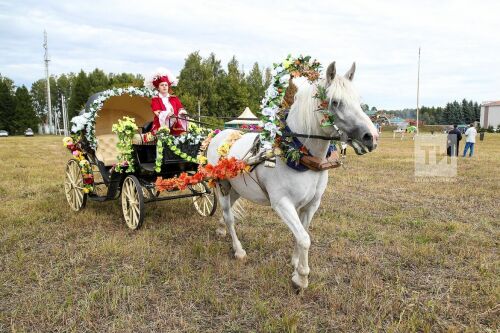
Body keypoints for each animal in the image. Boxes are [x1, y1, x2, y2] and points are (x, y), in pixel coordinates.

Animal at [205, 61, 376, 288]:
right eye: (335, 102)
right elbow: (304, 238)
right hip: (222, 185)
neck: (299, 154)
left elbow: (302, 233)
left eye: (358, 101)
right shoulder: (282, 203)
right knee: (229, 216)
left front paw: (295, 263)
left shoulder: (311, 204)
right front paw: (301, 277)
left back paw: (221, 229)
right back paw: (238, 250)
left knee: (228, 213)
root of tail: (220, 134)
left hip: (236, 189)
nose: (371, 137)